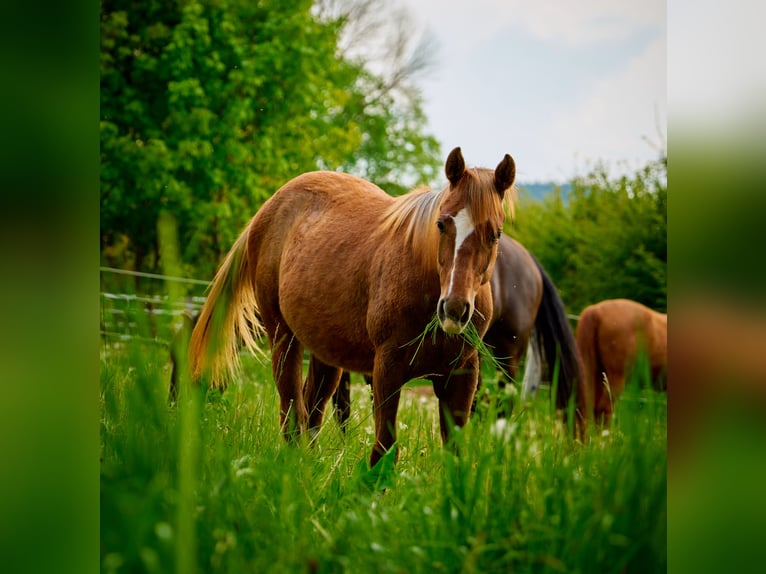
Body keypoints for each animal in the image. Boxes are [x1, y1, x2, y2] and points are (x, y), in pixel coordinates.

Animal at [190, 148, 536, 468]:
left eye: (495, 234)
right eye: (441, 224)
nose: (453, 308)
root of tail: (268, 208)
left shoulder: (462, 377)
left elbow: (455, 454)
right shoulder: (386, 370)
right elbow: (383, 451)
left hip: (326, 353)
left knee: (312, 410)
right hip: (283, 338)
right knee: (292, 414)